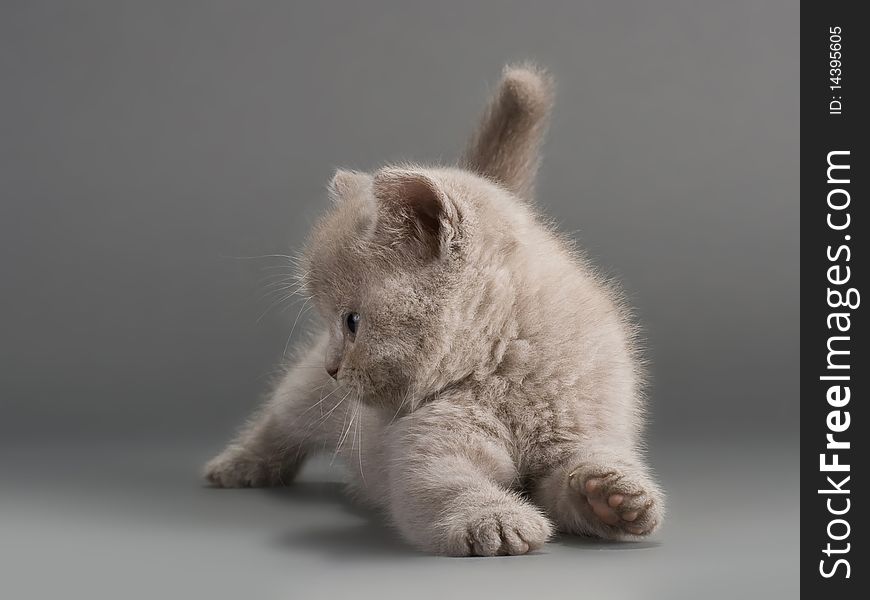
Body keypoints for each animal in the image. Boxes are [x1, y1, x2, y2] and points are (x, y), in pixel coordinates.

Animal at [206, 63, 668, 556]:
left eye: (352, 321)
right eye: (336, 321)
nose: (334, 366)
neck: (505, 363)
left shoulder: (587, 424)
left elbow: (573, 477)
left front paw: (614, 495)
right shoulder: (430, 444)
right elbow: (446, 484)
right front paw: (497, 519)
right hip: (311, 396)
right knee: (281, 418)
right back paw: (239, 466)